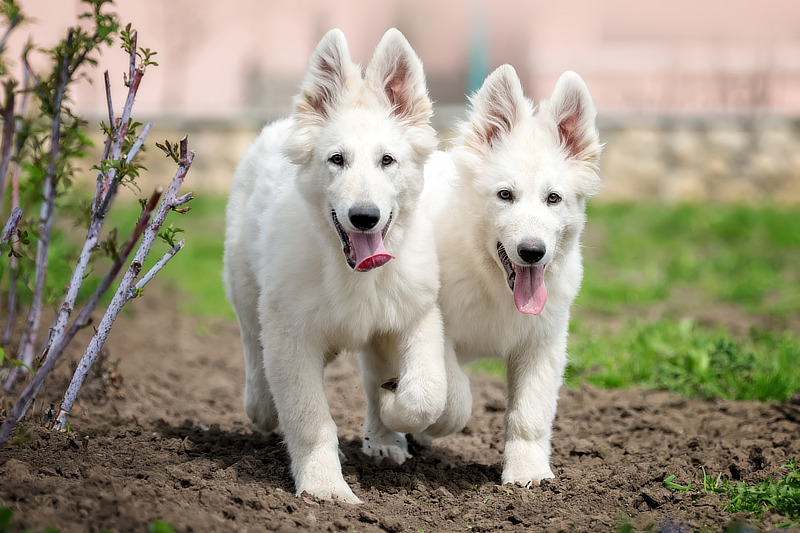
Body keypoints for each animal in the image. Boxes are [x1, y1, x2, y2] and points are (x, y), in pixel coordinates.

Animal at [225, 29, 446, 502]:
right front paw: (324, 488)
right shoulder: (291, 335)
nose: (364, 217)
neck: (354, 272)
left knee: (374, 379)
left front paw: (395, 412)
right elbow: (309, 418)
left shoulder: (416, 314)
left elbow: (426, 394)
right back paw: (263, 404)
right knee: (253, 345)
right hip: (245, 288)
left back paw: (383, 438)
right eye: (337, 159)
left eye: (387, 160)